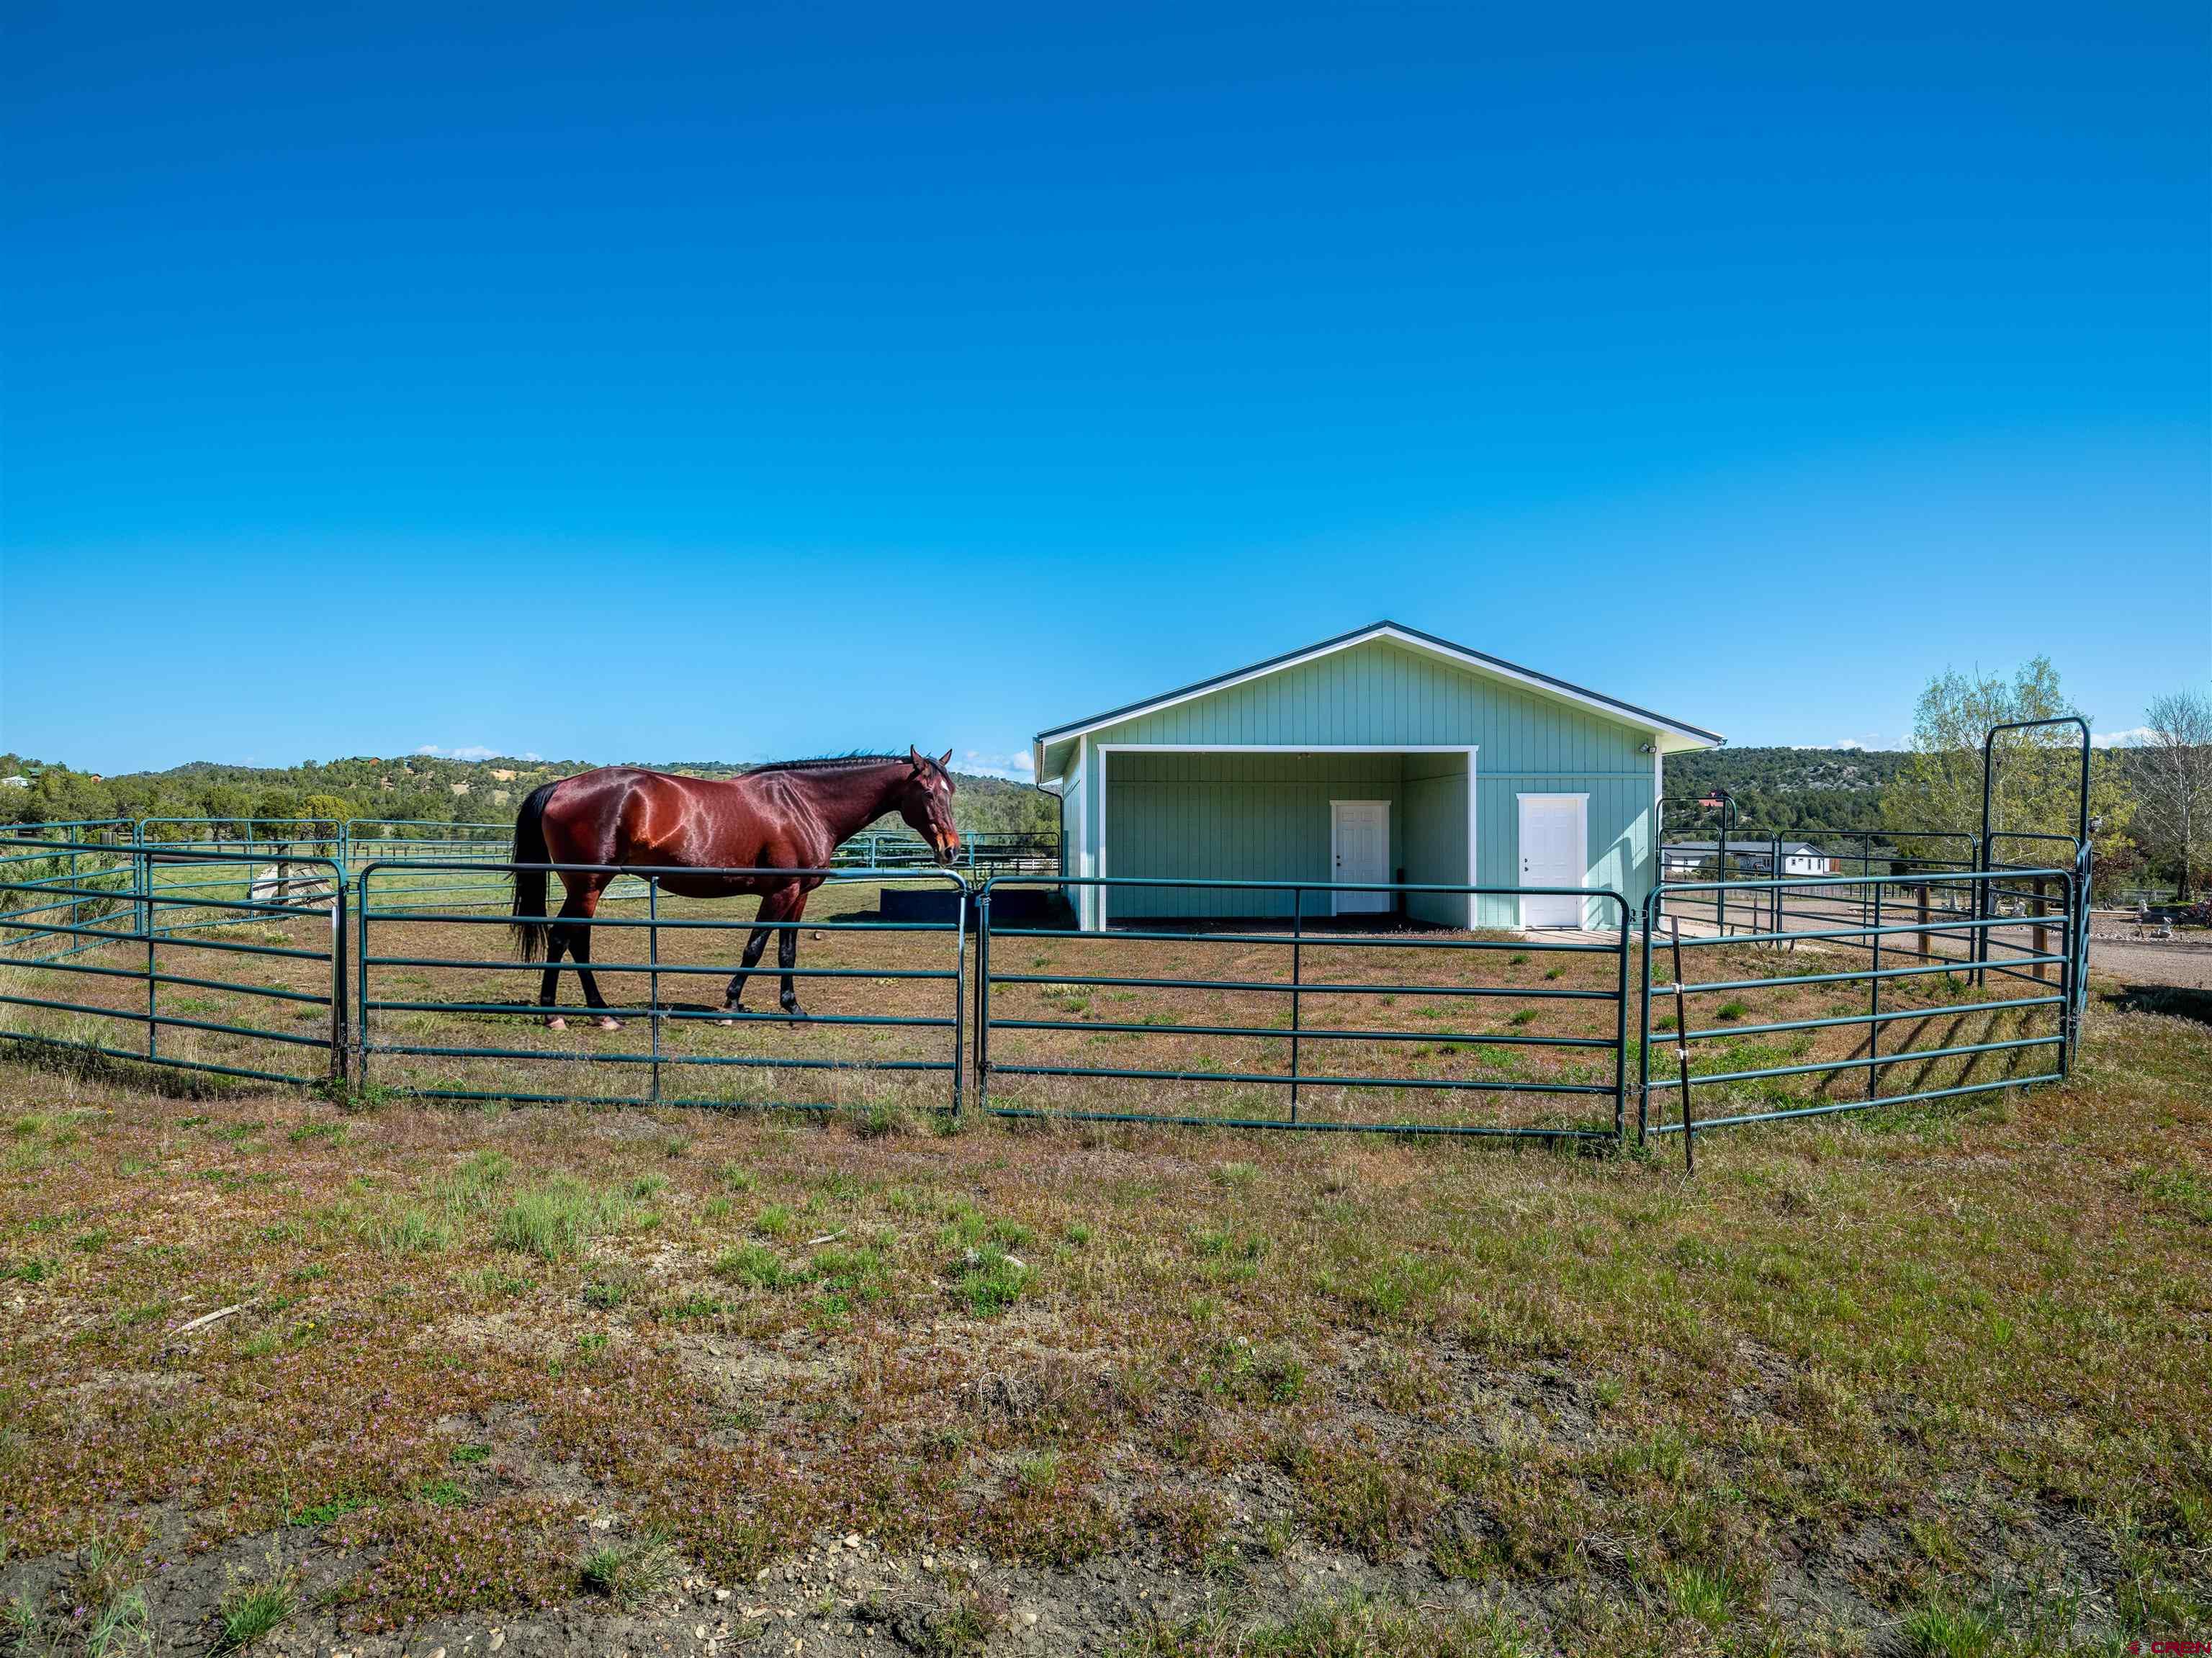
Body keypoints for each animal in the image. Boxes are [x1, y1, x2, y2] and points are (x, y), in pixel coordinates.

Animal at [508, 748, 961, 1030]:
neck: (804, 805)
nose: (951, 849)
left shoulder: (799, 895)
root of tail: (561, 786)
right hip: (587, 885)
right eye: (927, 792)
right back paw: (572, 1014)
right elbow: (755, 948)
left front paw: (793, 1009)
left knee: (571, 939)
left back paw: (590, 1012)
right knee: (568, 938)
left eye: (951, 792)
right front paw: (729, 1007)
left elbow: (786, 952)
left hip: (586, 887)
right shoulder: (779, 893)